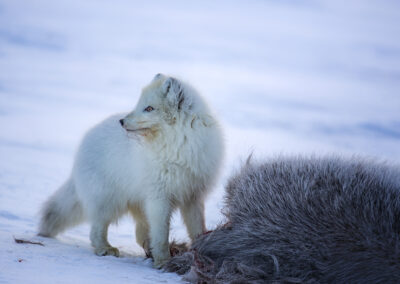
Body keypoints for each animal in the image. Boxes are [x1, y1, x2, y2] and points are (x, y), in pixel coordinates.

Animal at [39, 74, 223, 268]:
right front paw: (163, 261)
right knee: (97, 229)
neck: (178, 144)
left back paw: (151, 250)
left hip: (137, 202)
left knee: (139, 234)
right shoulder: (158, 197)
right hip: (108, 200)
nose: (122, 121)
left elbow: (197, 228)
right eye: (139, 104)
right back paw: (105, 248)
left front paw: (200, 249)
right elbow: (161, 234)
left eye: (149, 108)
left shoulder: (193, 195)